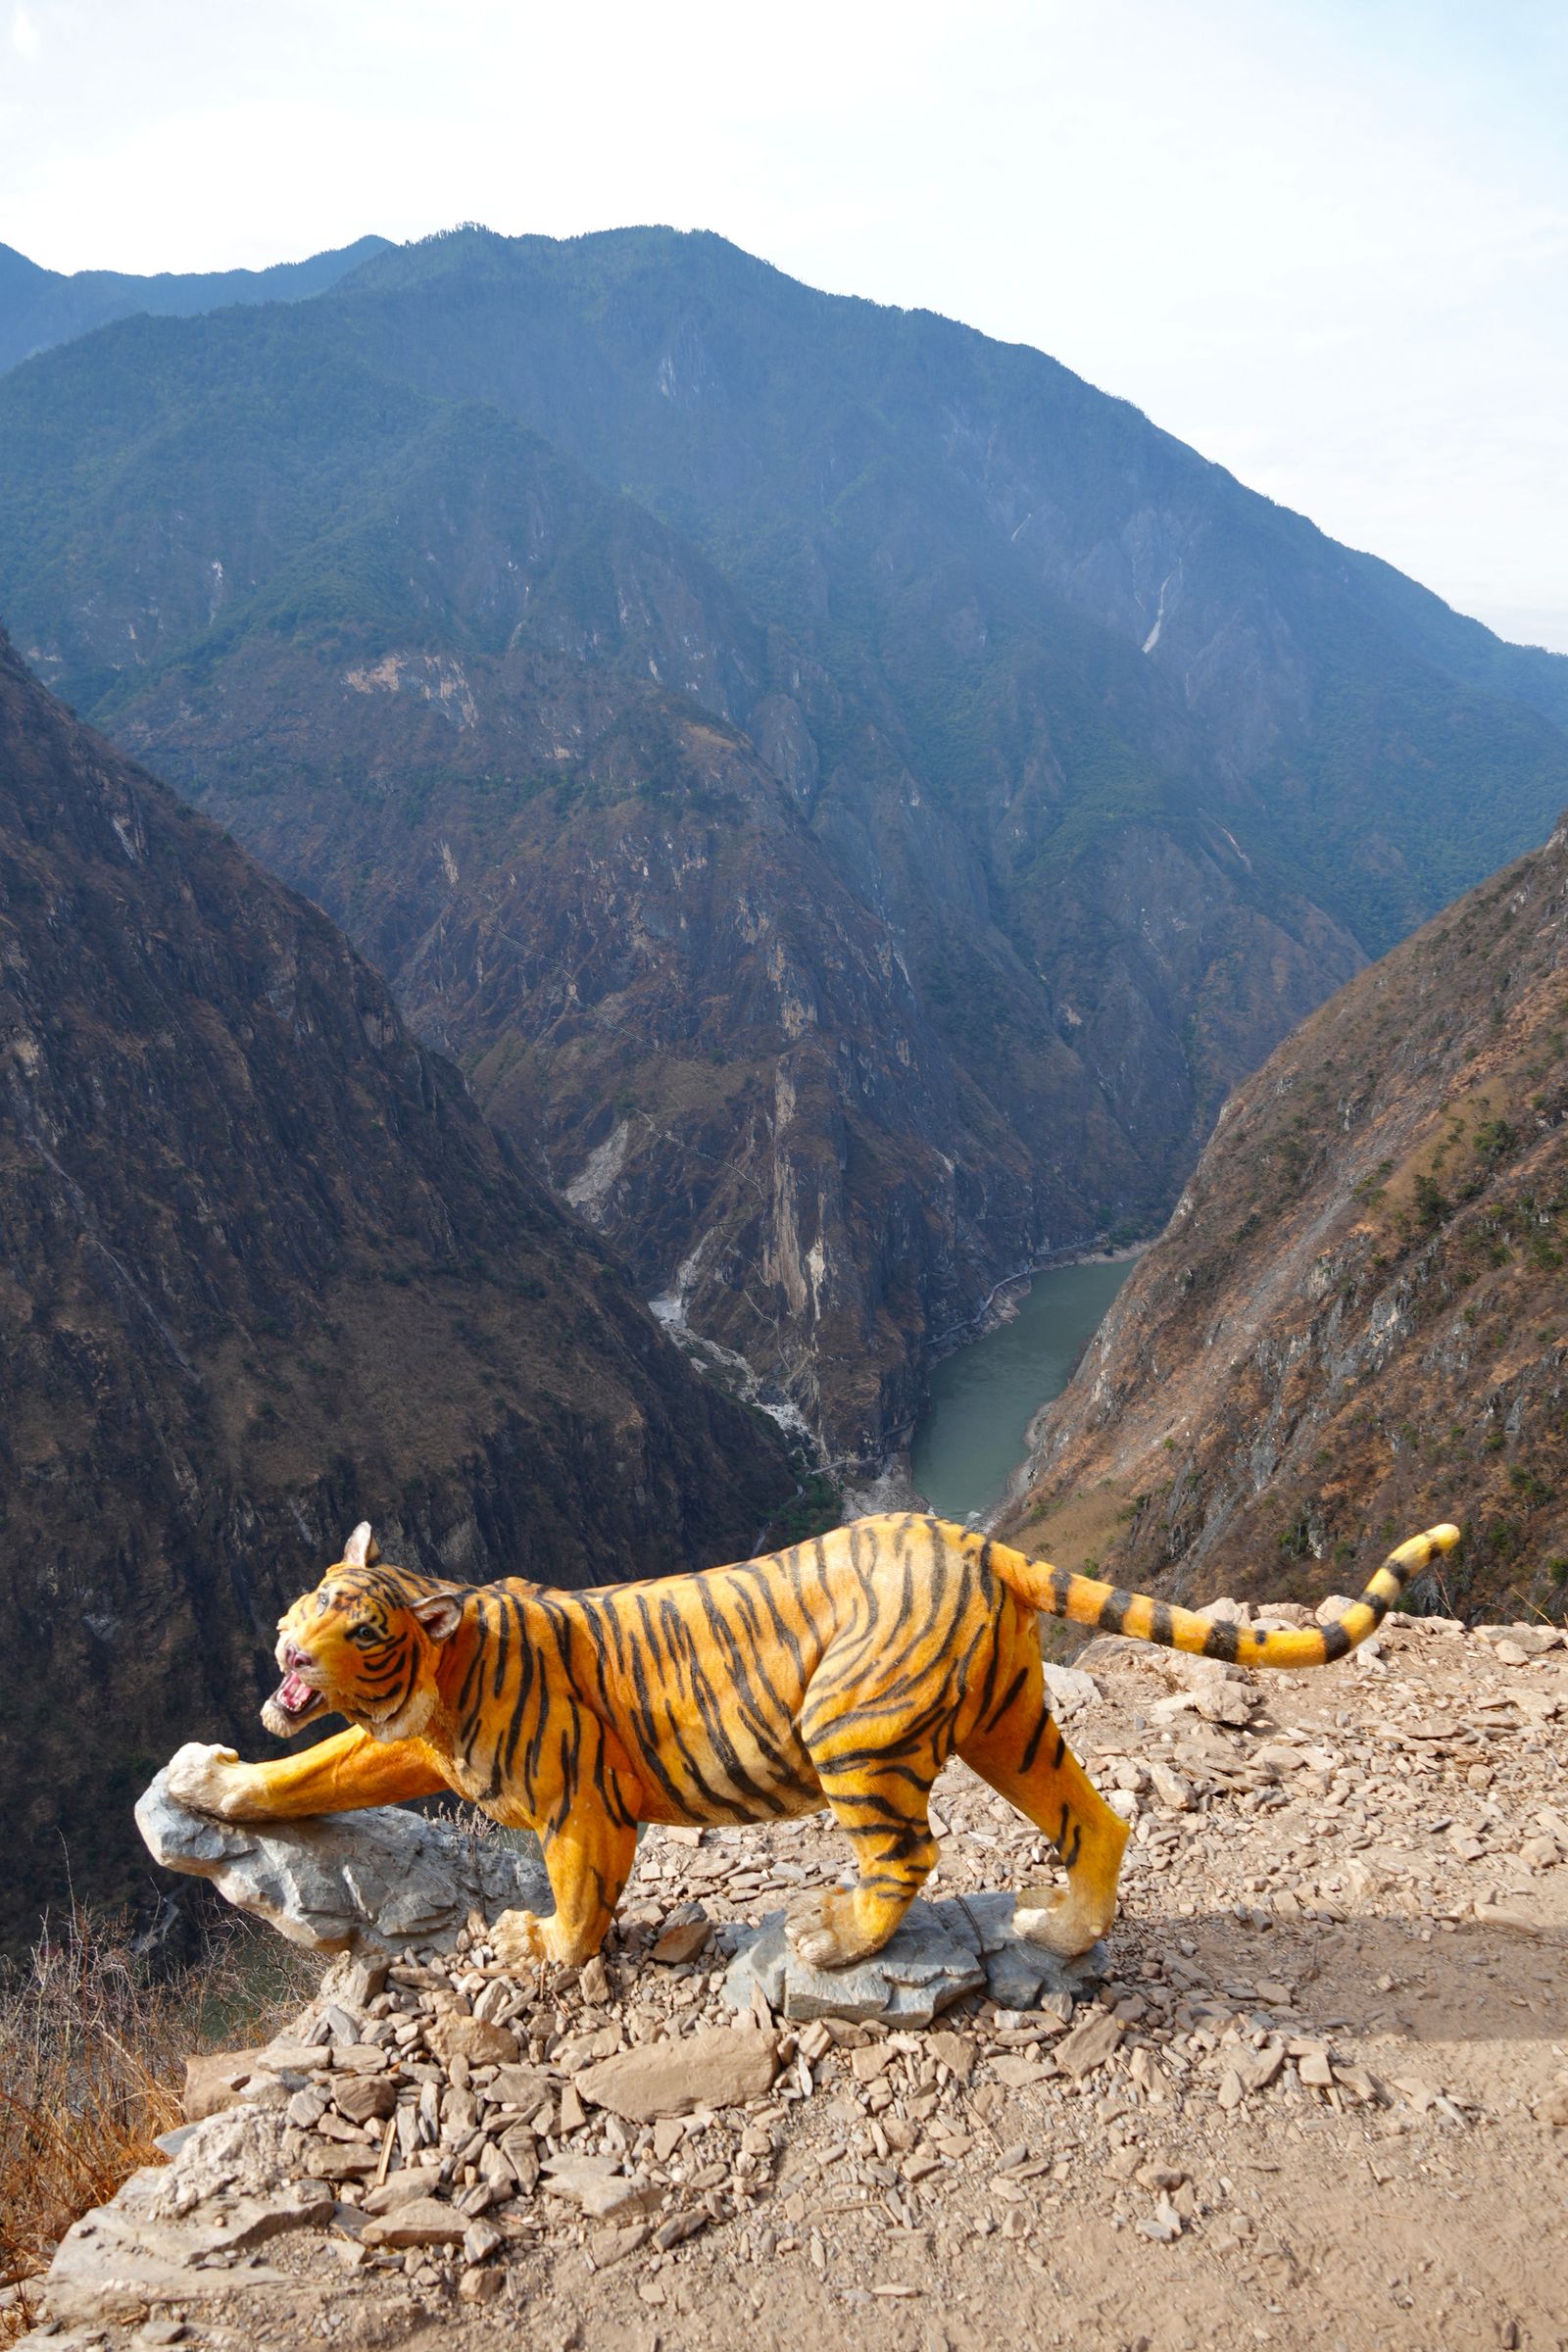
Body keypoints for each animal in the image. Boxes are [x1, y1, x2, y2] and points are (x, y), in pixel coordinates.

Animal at [165, 1512, 1459, 1972]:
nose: (288, 1640)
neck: (433, 1680)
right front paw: (211, 1783)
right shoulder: (408, 1749)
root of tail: (968, 1537)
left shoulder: (579, 1806)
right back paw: (1063, 1928)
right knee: (1095, 1815)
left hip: (857, 1732)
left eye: (360, 1624)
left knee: (907, 1854)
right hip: (1007, 1721)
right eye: (312, 1594)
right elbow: (312, 1768)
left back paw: (838, 1939)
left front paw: (542, 1948)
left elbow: (578, 1898)